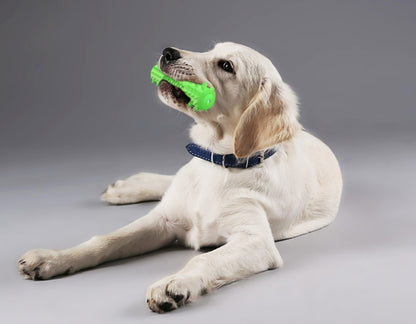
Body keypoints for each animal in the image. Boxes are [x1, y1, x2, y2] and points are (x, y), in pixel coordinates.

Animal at [17, 41, 342, 312]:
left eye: (227, 66)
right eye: (211, 49)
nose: (168, 51)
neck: (216, 163)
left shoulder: (256, 241)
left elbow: (203, 257)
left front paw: (174, 284)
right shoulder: (163, 220)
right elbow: (107, 240)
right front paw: (54, 258)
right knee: (169, 181)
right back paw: (126, 187)